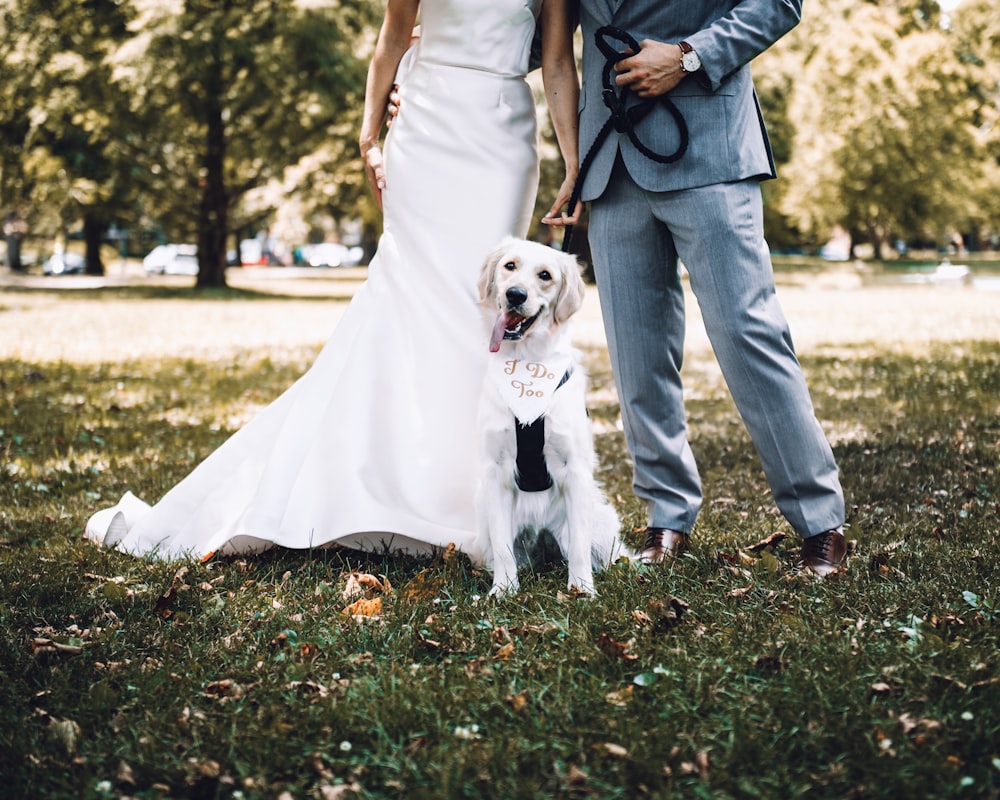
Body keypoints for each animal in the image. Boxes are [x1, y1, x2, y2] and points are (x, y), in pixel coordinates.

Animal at [474, 234, 628, 596]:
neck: (527, 362)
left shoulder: (576, 469)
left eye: (545, 275)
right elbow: (503, 548)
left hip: (601, 521)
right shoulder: (495, 470)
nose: (515, 295)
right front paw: (503, 591)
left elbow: (580, 547)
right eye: (510, 266)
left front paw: (582, 590)